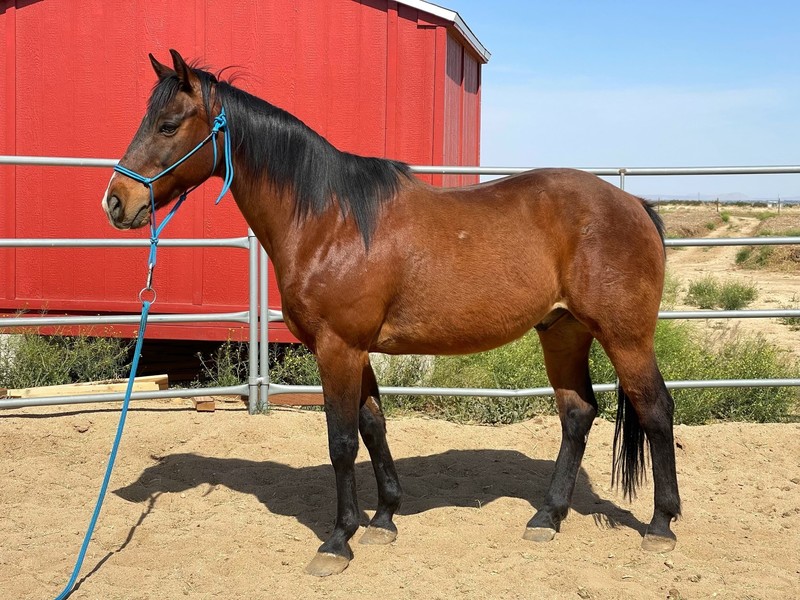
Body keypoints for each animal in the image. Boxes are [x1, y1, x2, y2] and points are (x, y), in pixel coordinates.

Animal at [104, 49, 680, 576]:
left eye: (168, 125)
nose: (116, 201)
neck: (328, 219)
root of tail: (634, 206)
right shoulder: (354, 350)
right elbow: (372, 425)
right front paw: (382, 519)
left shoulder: (338, 347)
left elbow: (341, 441)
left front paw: (338, 541)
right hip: (562, 331)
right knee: (577, 413)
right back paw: (548, 517)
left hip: (625, 337)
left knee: (655, 410)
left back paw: (660, 526)